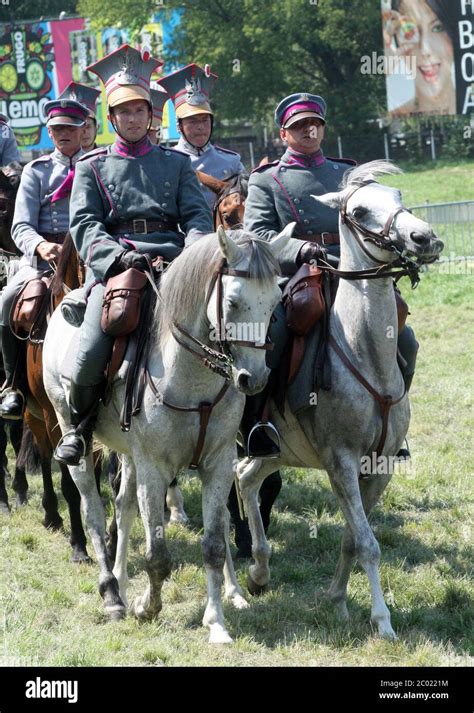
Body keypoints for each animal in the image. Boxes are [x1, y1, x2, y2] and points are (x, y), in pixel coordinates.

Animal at [42, 225, 290, 644]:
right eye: (233, 301)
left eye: (275, 300)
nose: (253, 379)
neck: (190, 377)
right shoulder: (156, 467)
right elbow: (157, 553)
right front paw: (147, 607)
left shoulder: (218, 462)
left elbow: (214, 543)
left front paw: (217, 621)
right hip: (71, 430)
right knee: (94, 512)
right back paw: (112, 594)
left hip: (129, 454)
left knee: (124, 507)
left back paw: (124, 583)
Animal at [237, 161, 444, 640]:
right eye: (362, 211)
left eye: (399, 196)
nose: (424, 238)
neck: (363, 351)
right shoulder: (341, 462)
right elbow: (368, 542)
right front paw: (382, 621)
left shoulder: (379, 466)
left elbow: (353, 537)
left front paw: (337, 598)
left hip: (278, 451)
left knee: (247, 478)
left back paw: (259, 570)